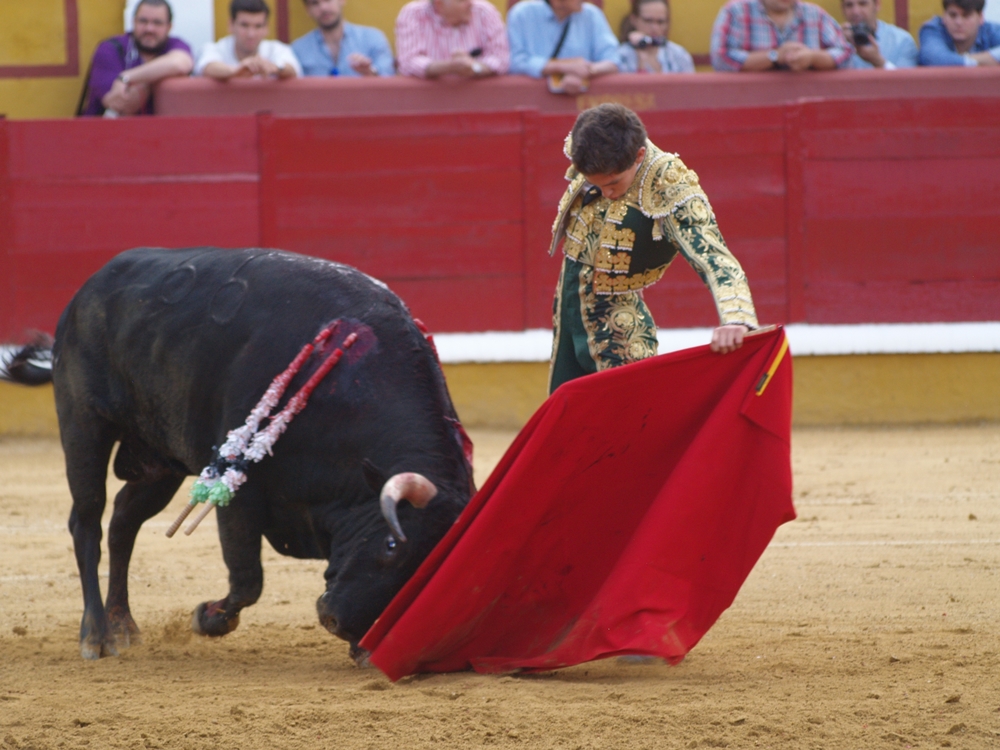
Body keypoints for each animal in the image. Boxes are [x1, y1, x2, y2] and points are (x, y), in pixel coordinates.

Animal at [24, 247, 472, 656]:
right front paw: (207, 617)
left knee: (123, 523)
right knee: (87, 522)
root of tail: (89, 288)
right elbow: (247, 577)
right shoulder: (241, 492)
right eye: (392, 545)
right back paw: (97, 635)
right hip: (84, 425)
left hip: (160, 460)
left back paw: (123, 627)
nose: (339, 623)